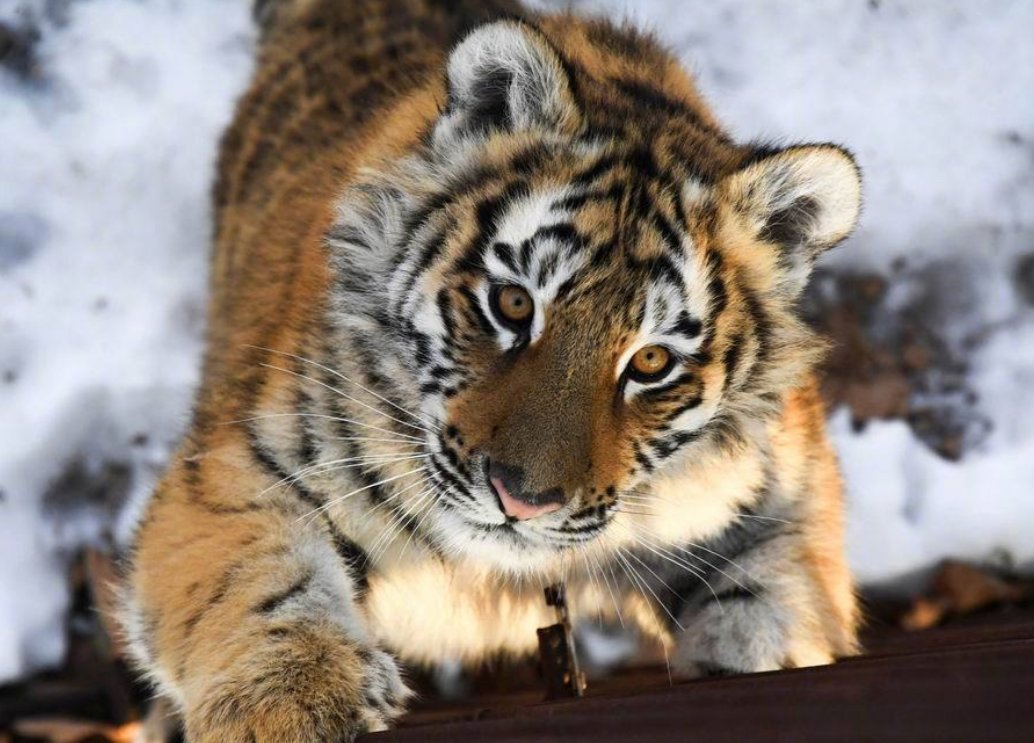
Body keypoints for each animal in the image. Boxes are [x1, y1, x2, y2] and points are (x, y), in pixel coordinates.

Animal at [121, 0, 863, 740]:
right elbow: (257, 580)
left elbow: (774, 603)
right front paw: (300, 702)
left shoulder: (783, 491)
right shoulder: (244, 463)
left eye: (651, 362)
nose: (521, 499)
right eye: (512, 303)